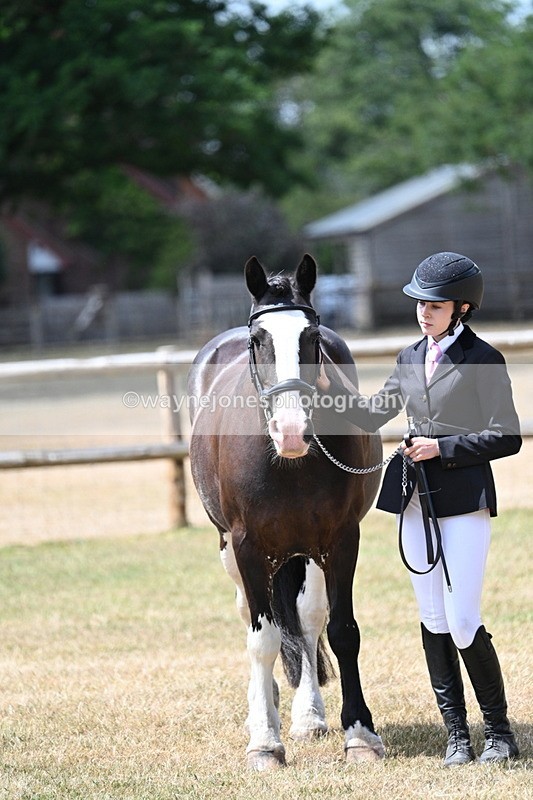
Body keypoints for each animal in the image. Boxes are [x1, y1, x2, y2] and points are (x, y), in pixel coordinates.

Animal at [187, 254, 385, 770]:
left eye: (311, 338)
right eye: (259, 340)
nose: (291, 429)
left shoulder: (340, 540)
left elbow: (341, 630)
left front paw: (360, 734)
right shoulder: (246, 546)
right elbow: (262, 640)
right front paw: (264, 742)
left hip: (306, 553)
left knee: (308, 619)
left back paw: (309, 715)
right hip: (231, 550)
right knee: (252, 617)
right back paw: (265, 708)